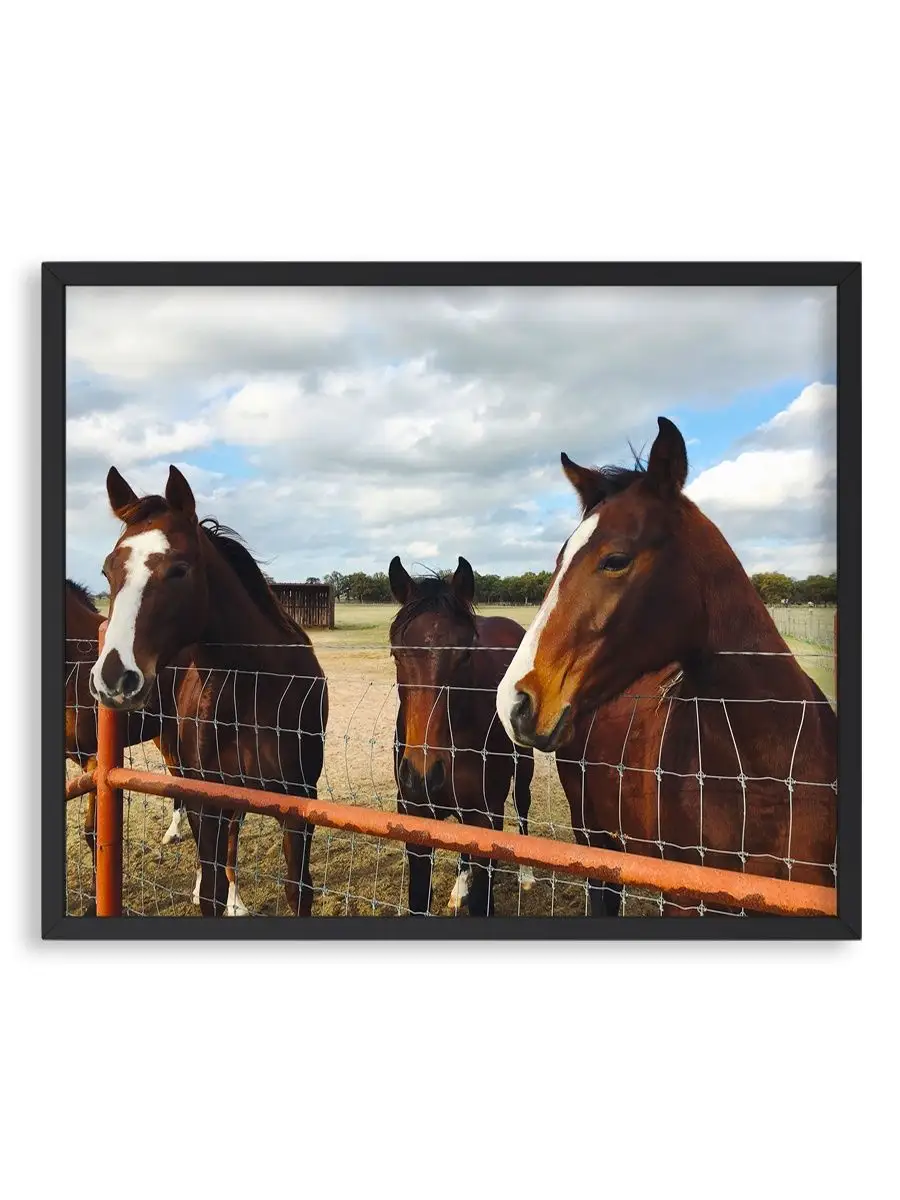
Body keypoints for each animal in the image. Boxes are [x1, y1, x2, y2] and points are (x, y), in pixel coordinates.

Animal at [90, 465, 328, 917]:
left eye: (180, 569)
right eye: (107, 570)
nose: (115, 677)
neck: (257, 689)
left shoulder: (298, 807)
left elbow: (298, 890)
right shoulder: (209, 800)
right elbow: (211, 890)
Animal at [389, 556, 535, 916]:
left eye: (466, 654)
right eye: (397, 654)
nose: (423, 773)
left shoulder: (486, 817)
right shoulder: (416, 815)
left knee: (522, 804)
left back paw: (526, 875)